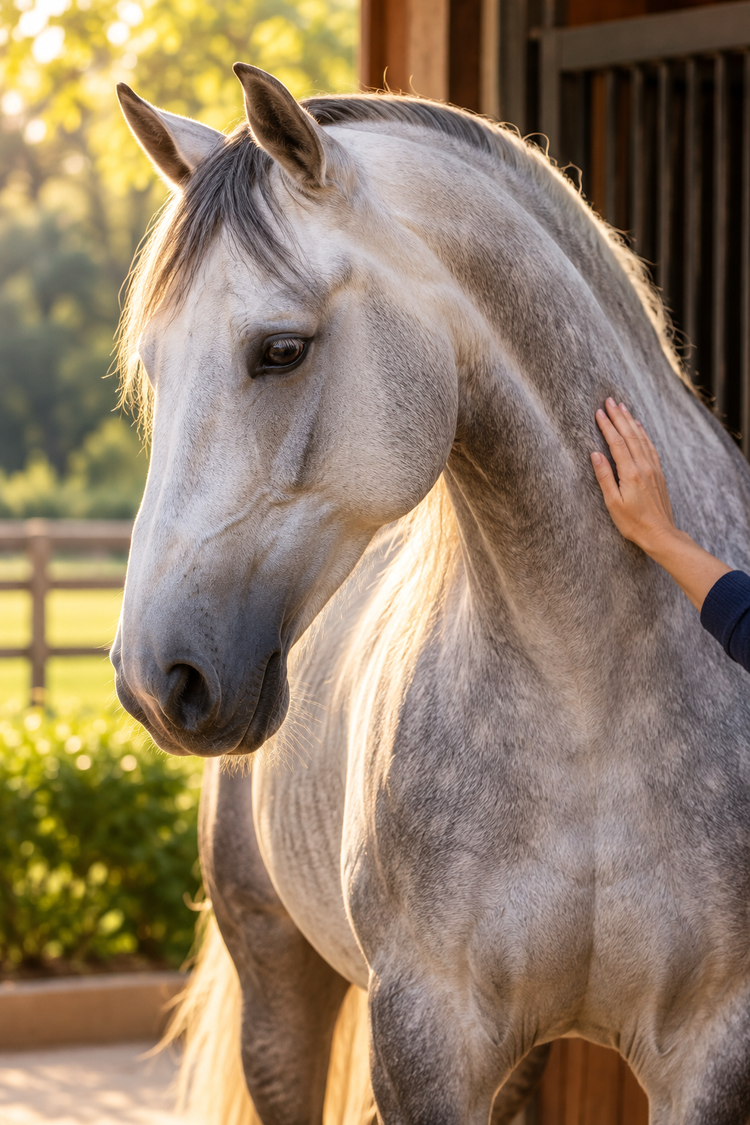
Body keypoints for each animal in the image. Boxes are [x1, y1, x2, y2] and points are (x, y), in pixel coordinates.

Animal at [112, 64, 750, 1125]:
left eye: (279, 350)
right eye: (153, 365)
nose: (157, 679)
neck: (591, 692)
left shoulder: (714, 1046)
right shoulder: (422, 1030)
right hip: (277, 977)